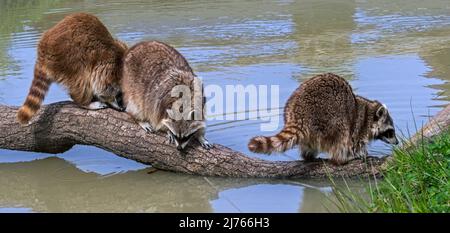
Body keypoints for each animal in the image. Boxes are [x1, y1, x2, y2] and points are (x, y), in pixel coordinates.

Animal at [248, 73, 400, 165]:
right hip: (330, 116)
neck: (370, 111)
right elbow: (354, 144)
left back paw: (308, 156)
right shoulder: (359, 125)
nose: (397, 142)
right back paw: (342, 158)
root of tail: (299, 113)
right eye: (390, 131)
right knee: (342, 135)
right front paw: (361, 154)